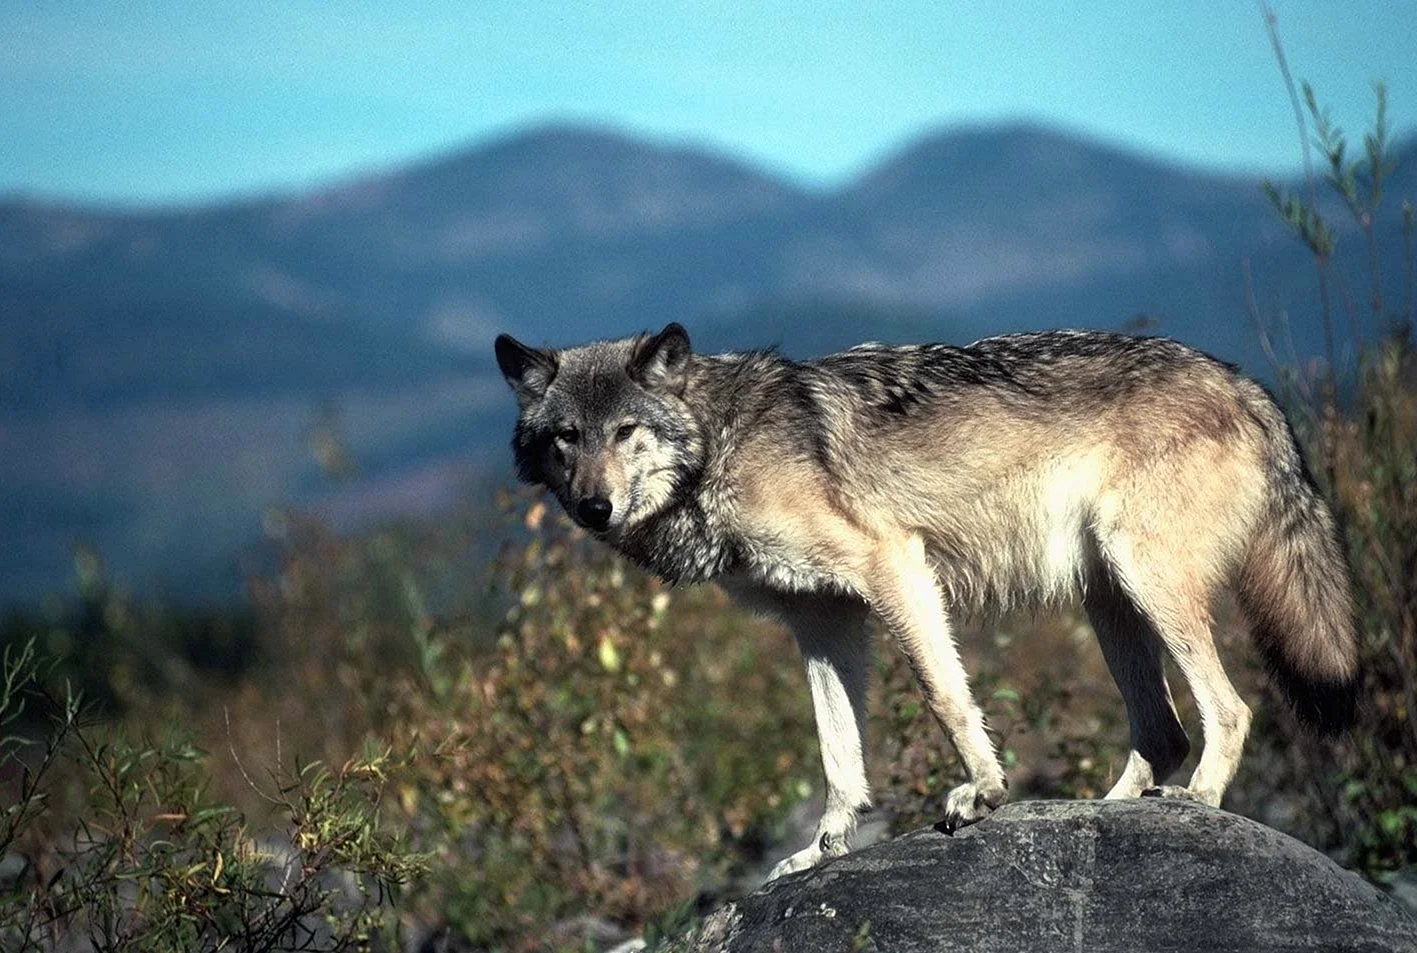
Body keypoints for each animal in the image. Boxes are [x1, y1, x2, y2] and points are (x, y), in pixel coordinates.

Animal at [494, 323, 1358, 881]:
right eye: (567, 437)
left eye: (626, 431)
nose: (593, 507)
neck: (720, 442)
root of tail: (1245, 382)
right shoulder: (824, 624)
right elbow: (837, 753)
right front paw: (823, 849)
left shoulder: (893, 567)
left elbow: (944, 694)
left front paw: (984, 793)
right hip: (1109, 599)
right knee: (1164, 730)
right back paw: (1111, 810)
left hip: (1146, 580)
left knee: (1229, 710)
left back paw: (1198, 800)